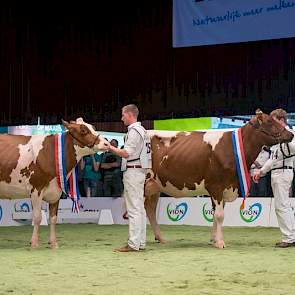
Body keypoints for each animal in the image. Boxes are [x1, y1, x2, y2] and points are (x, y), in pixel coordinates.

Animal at [0, 119, 108, 249]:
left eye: (93, 127)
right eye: (83, 130)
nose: (107, 143)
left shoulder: (56, 192)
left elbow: (53, 218)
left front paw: (53, 243)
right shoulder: (36, 188)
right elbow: (38, 217)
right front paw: (34, 243)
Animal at [145, 111, 294, 250]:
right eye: (269, 121)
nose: (291, 134)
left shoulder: (225, 187)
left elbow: (216, 215)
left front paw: (214, 239)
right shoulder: (216, 186)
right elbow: (219, 215)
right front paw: (220, 242)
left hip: (154, 187)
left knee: (150, 210)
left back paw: (160, 238)